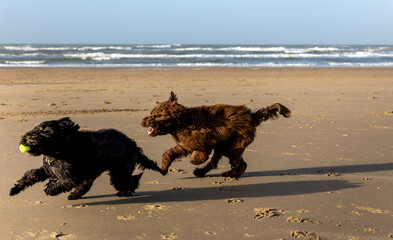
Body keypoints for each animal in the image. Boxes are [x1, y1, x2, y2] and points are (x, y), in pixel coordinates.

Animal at [9, 117, 162, 200]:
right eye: (34, 129)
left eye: (43, 132)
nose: (23, 140)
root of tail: (134, 145)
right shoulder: (48, 170)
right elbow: (31, 175)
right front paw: (15, 189)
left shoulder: (70, 178)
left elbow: (58, 184)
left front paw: (49, 189)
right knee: (87, 185)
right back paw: (75, 195)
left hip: (119, 171)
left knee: (130, 182)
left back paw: (125, 192)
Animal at [142, 92, 290, 178]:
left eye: (155, 115)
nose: (142, 121)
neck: (181, 122)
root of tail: (251, 116)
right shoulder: (183, 145)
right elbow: (168, 153)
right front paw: (164, 168)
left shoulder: (203, 141)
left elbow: (196, 156)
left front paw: (196, 159)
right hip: (227, 147)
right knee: (220, 163)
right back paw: (201, 172)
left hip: (232, 146)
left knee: (240, 165)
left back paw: (228, 174)